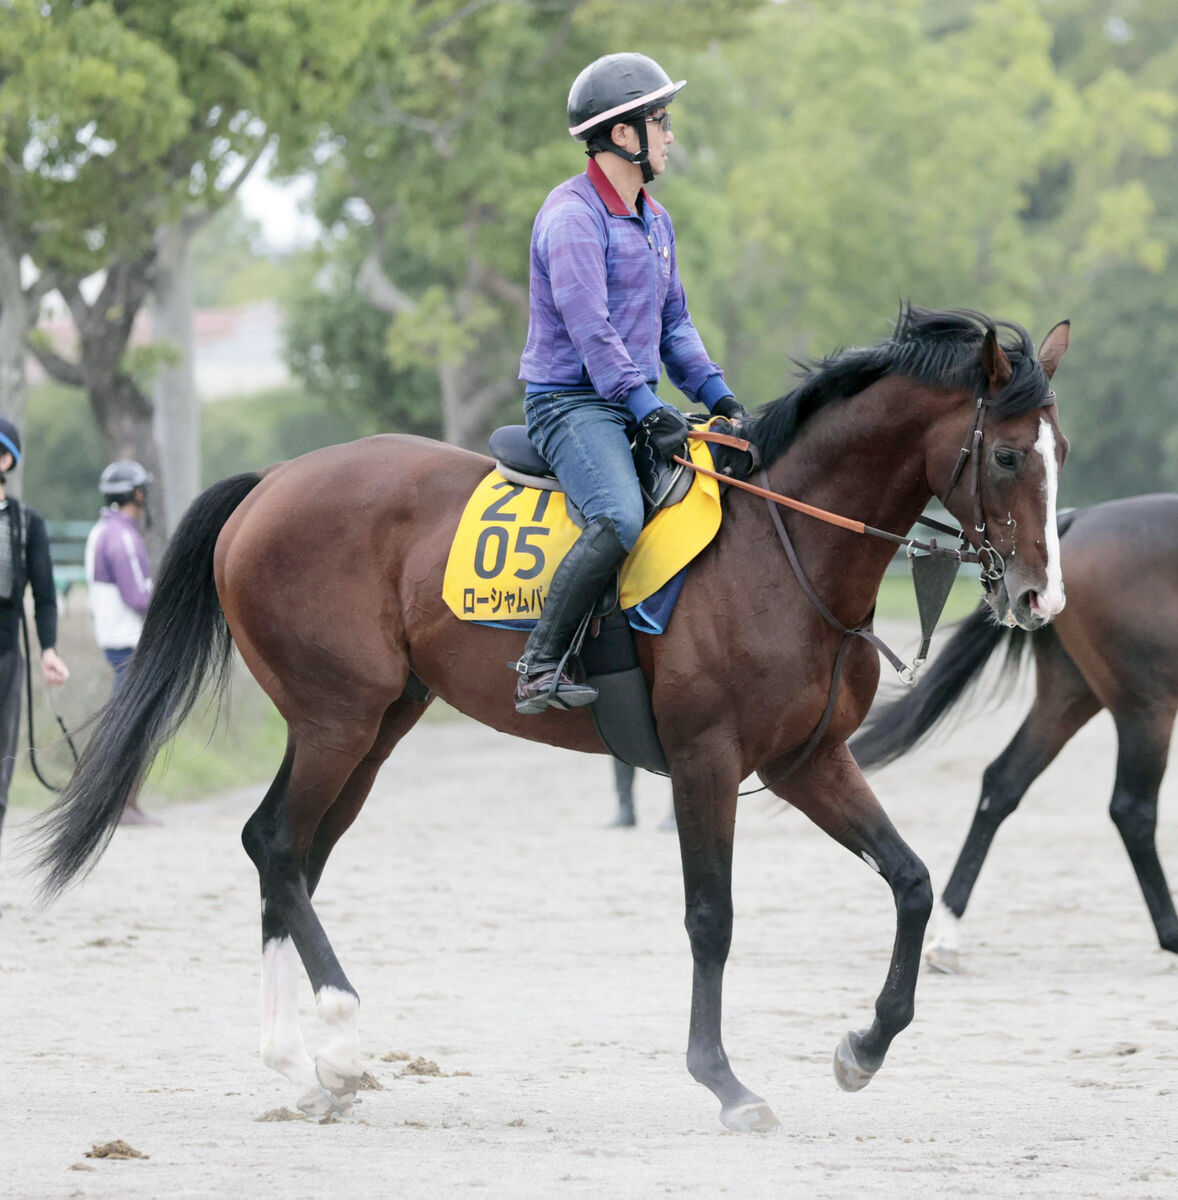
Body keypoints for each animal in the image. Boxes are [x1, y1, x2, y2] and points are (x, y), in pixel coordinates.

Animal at [34, 307, 1070, 1132]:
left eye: (1059, 456)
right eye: (1007, 454)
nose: (1039, 598)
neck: (786, 548)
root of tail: (273, 480)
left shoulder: (807, 763)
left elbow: (911, 882)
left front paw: (864, 1046)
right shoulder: (706, 761)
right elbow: (711, 917)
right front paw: (725, 1083)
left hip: (375, 726)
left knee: (286, 855)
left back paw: (305, 1064)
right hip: (337, 717)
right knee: (279, 847)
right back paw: (339, 1036)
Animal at [854, 492, 1175, 969]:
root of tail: (1079, 519)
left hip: (1070, 695)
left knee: (1003, 783)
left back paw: (948, 934)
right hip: (1145, 706)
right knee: (1131, 810)